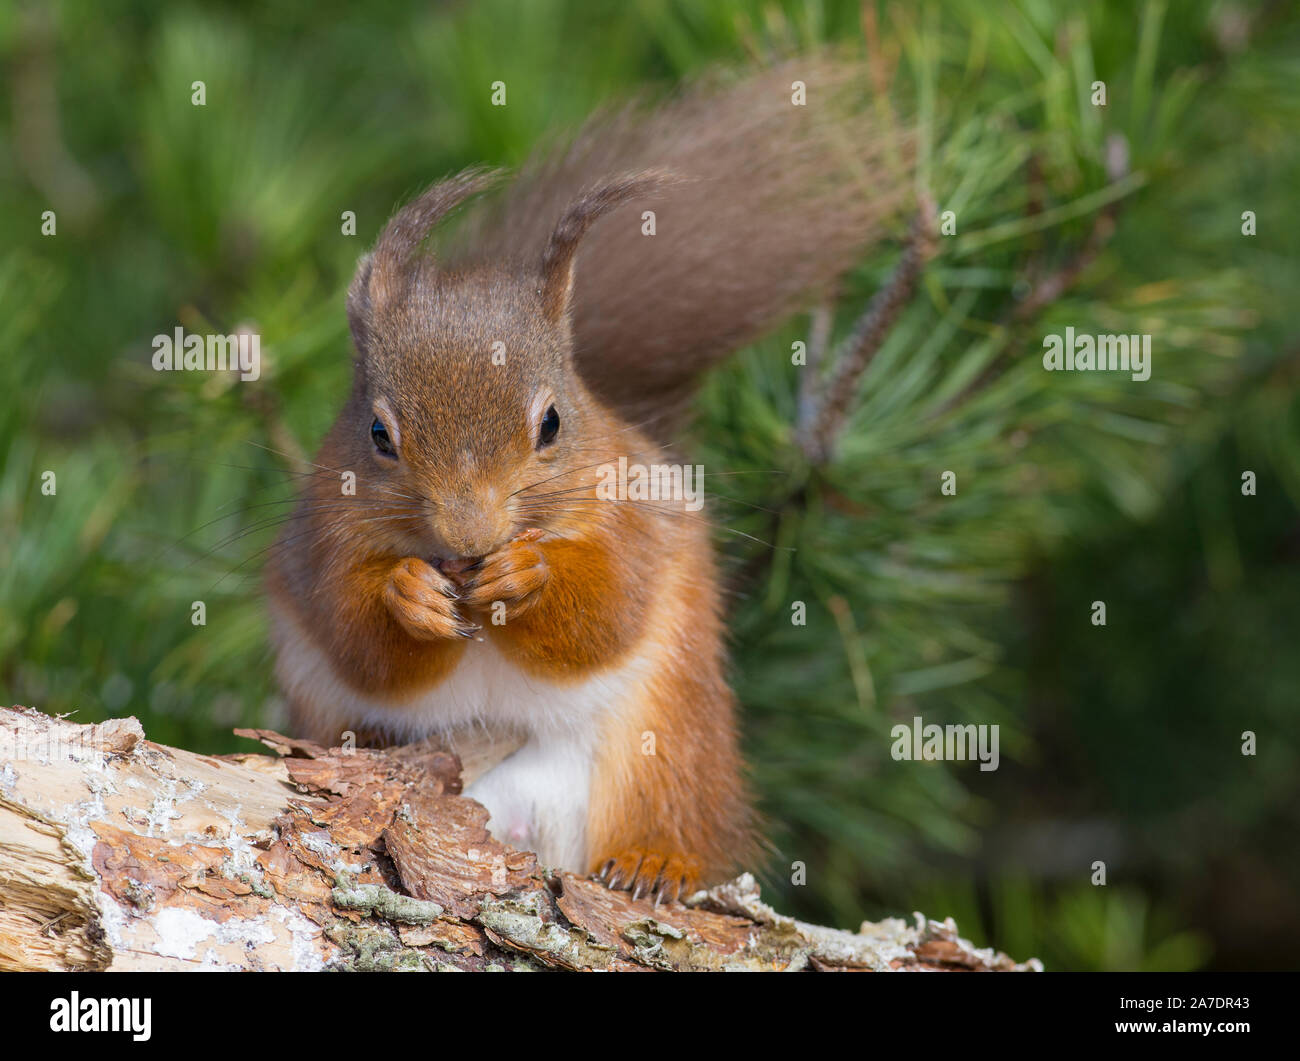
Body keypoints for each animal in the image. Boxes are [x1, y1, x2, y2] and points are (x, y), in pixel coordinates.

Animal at [266, 57, 904, 904]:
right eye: (377, 436)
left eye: (553, 423)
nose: (472, 537)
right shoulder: (318, 545)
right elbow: (353, 635)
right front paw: (408, 594)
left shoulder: (634, 517)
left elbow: (607, 610)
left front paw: (529, 571)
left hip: (668, 743)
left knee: (675, 809)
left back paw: (654, 862)